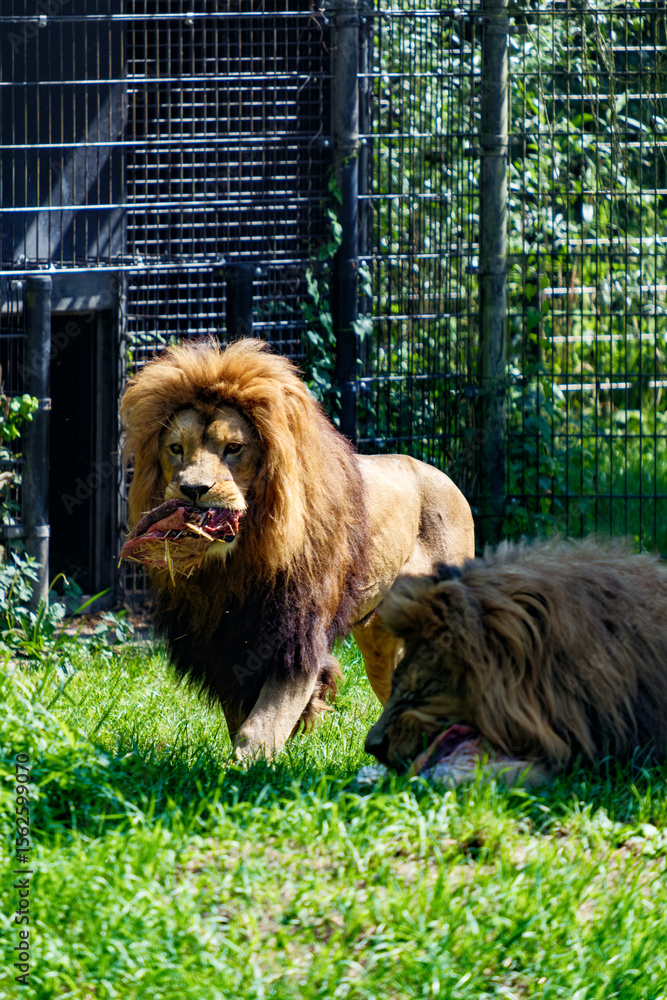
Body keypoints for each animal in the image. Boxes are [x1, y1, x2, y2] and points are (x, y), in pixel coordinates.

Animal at [120, 338, 474, 761]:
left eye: (233, 447)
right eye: (176, 448)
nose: (192, 489)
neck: (239, 560)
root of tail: (443, 476)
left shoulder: (295, 638)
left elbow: (261, 727)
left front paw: (241, 771)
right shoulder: (225, 644)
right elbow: (241, 718)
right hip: (378, 642)